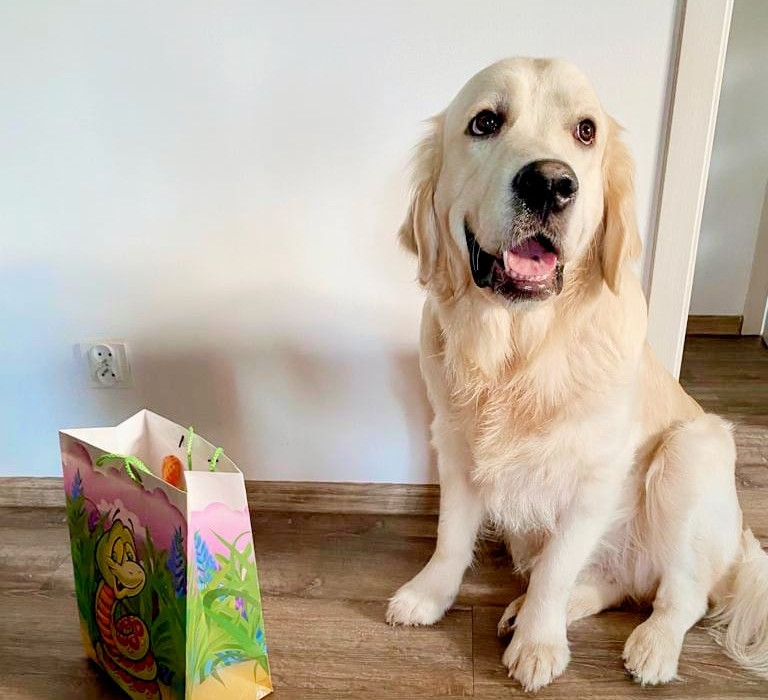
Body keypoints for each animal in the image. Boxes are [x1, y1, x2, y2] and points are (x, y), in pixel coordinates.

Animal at [386, 57, 768, 691]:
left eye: (586, 131)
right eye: (484, 122)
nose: (550, 183)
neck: (520, 350)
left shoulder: (594, 479)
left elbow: (557, 568)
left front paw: (539, 644)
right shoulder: (456, 445)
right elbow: (450, 537)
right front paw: (428, 595)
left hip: (693, 449)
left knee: (682, 596)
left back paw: (651, 647)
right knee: (615, 584)